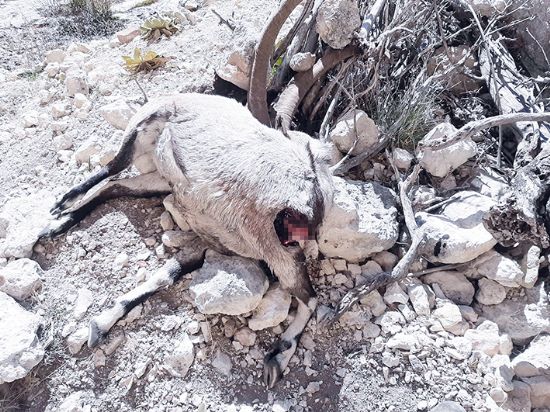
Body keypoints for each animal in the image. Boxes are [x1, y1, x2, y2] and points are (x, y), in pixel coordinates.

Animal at [41, 92, 334, 386]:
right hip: (140, 133)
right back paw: (60, 208)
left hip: (161, 180)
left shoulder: (212, 242)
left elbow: (166, 275)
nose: (302, 233)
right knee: (112, 169)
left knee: (115, 186)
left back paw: (60, 222)